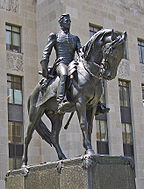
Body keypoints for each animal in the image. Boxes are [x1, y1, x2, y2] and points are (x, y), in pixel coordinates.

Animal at [22, 28, 126, 166]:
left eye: (121, 55)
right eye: (112, 51)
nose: (110, 75)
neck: (88, 72)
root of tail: (31, 94)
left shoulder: (92, 105)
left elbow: (90, 127)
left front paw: (88, 149)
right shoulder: (80, 103)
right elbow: (83, 124)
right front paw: (89, 150)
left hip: (56, 115)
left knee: (54, 137)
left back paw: (62, 157)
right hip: (35, 114)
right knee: (27, 136)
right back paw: (24, 164)